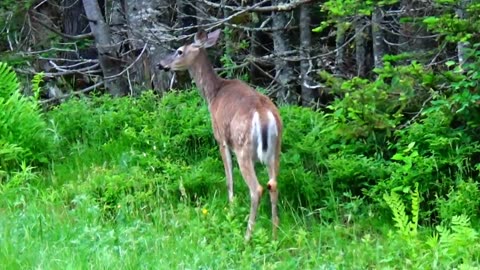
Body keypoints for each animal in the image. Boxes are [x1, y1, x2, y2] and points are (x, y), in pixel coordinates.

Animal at [159, 29, 284, 240]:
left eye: (179, 51)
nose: (161, 64)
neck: (213, 94)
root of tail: (264, 115)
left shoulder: (221, 139)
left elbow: (228, 179)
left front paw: (231, 209)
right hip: (276, 149)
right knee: (273, 184)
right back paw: (275, 234)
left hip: (243, 148)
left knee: (256, 189)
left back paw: (247, 236)